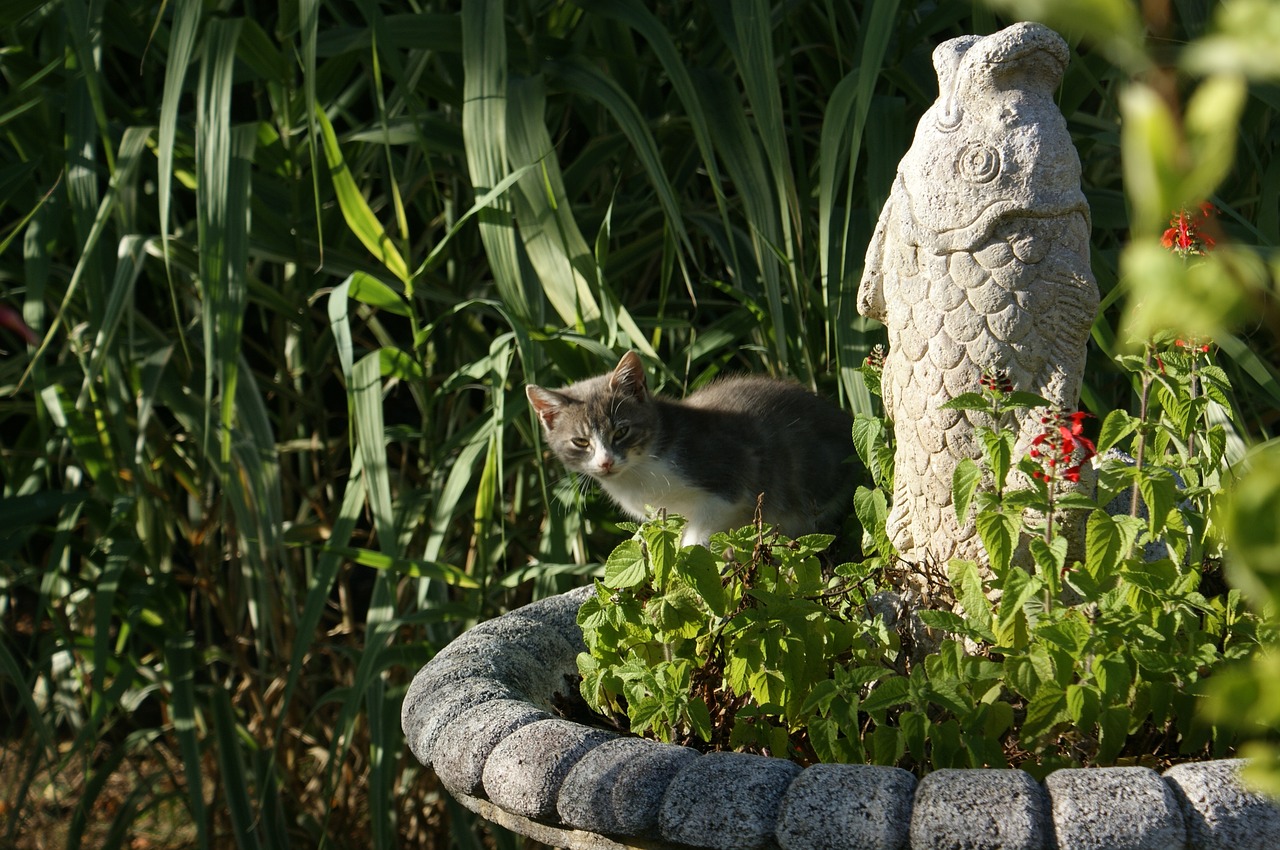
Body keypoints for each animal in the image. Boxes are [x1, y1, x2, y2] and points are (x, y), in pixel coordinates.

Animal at [524, 350, 855, 545]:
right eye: (581, 442)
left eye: (621, 431)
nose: (606, 462)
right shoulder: (658, 515)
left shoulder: (729, 475)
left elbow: (699, 532)